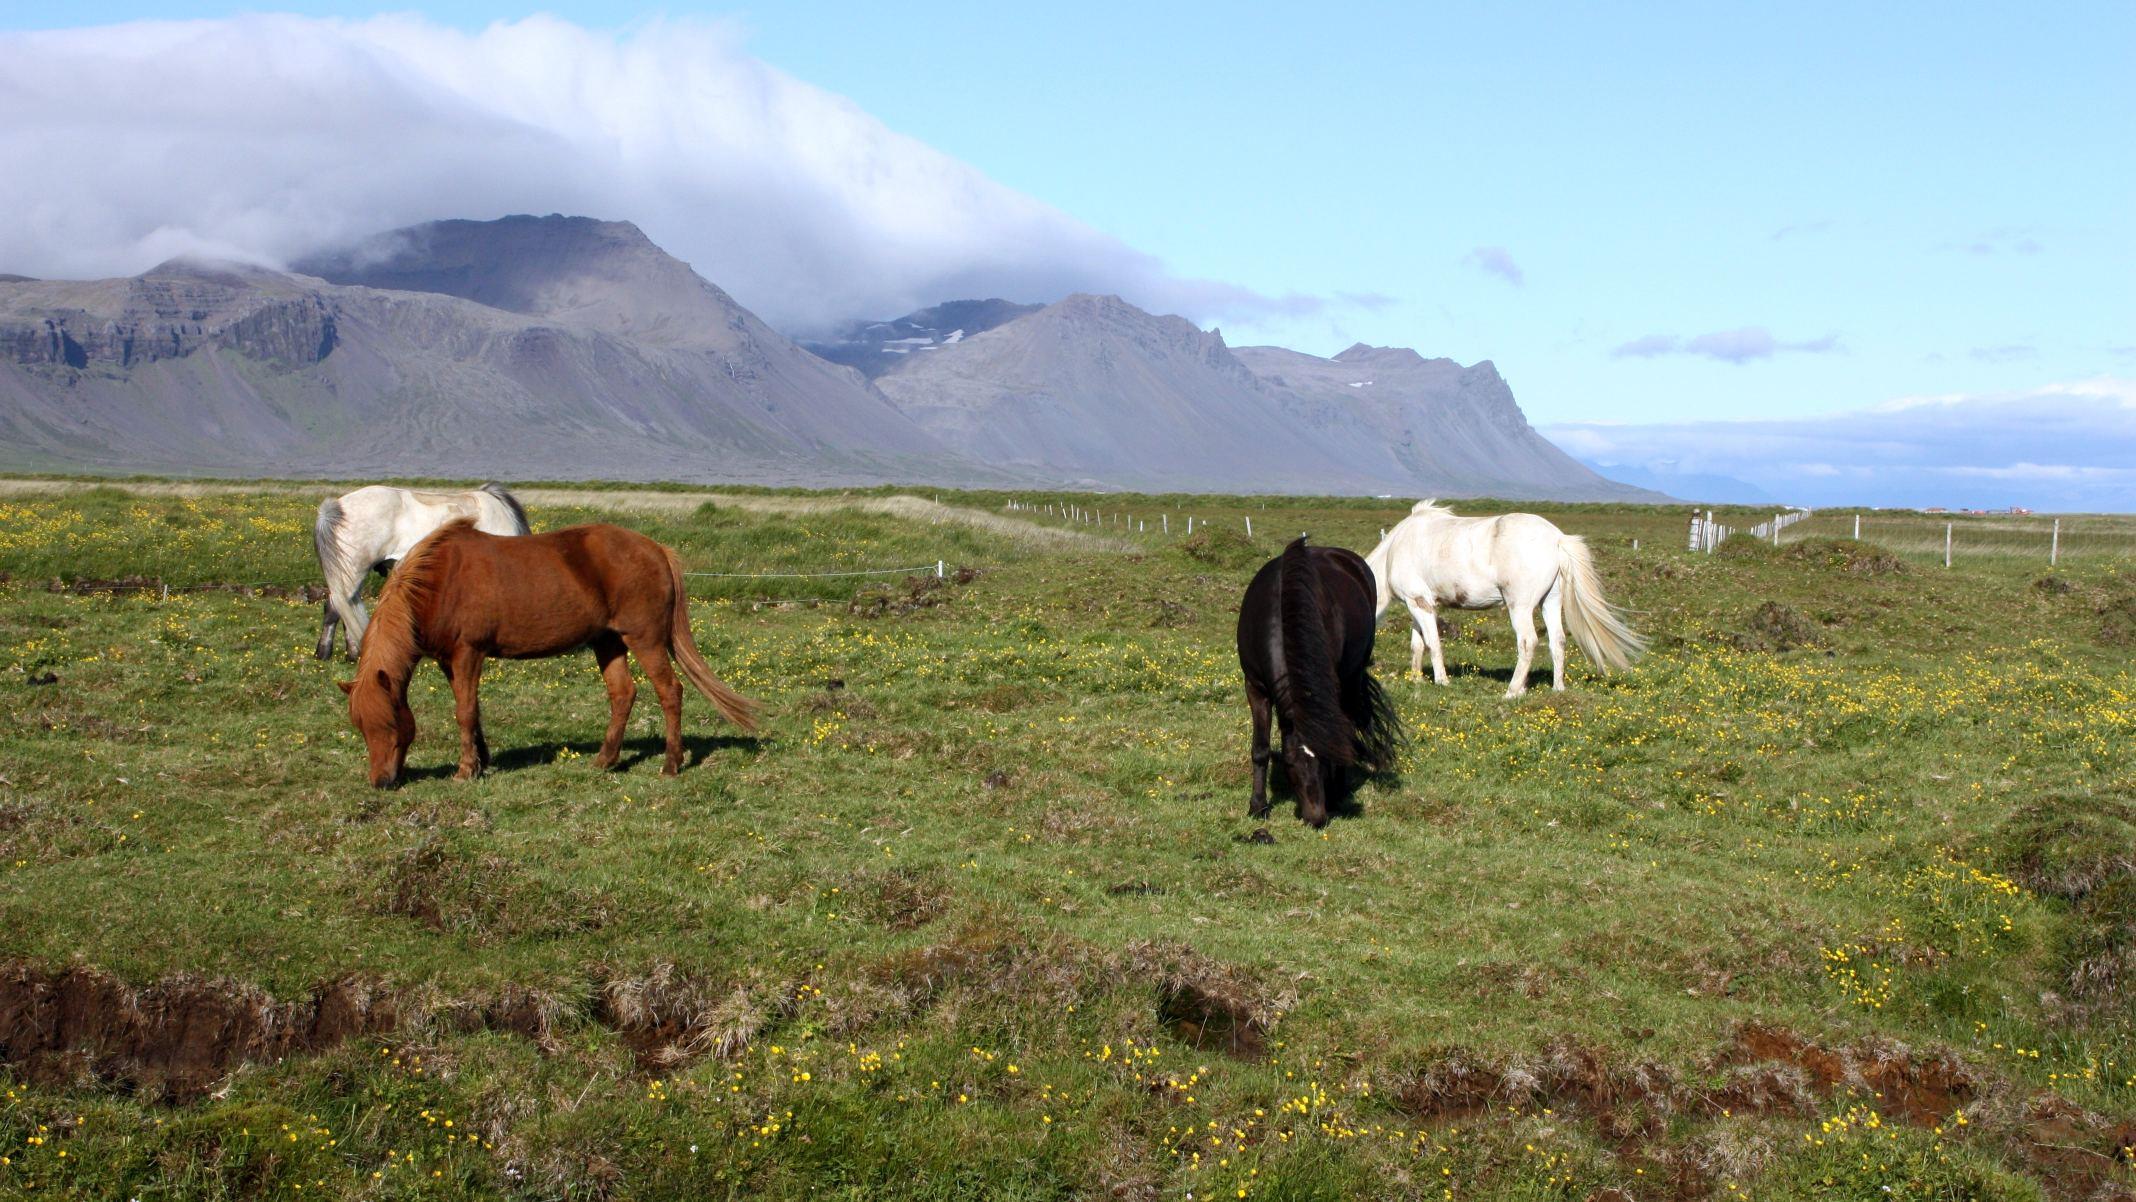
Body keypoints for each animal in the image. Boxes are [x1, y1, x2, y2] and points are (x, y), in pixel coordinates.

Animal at [337, 518, 764, 789]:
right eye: (361, 727)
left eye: (389, 724)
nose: (381, 782)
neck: (436, 582)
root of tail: (656, 549)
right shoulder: (448, 661)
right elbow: (471, 710)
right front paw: (481, 761)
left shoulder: (468, 653)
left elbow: (465, 711)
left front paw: (465, 770)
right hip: (607, 642)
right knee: (623, 694)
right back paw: (605, 760)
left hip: (644, 640)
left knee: (669, 692)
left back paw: (671, 764)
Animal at [1238, 538, 1401, 828]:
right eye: (1290, 763)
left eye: (1324, 761)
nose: (1316, 818)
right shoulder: (1254, 687)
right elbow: (1260, 748)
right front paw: (1257, 806)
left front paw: (1335, 795)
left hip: (1352, 676)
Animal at [1358, 503, 1640, 700]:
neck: (1395, 548)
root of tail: (1557, 538)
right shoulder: (1418, 604)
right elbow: (1418, 644)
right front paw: (1416, 679)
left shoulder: (1420, 601)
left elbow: (1433, 643)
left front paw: (1441, 682)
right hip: (1550, 601)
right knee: (1557, 641)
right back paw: (1557, 688)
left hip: (1520, 606)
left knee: (1528, 642)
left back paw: (1513, 692)